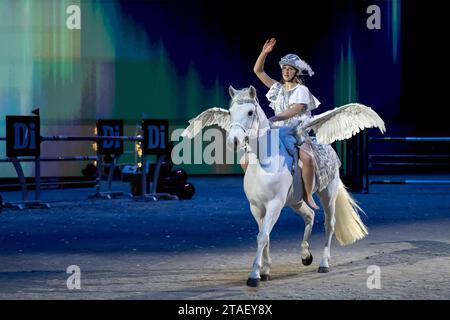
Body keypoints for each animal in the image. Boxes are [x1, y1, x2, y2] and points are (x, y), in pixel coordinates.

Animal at [181, 85, 384, 288]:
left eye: (250, 112)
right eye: (230, 113)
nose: (234, 141)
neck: (264, 162)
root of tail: (326, 146)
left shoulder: (274, 205)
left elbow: (262, 236)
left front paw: (254, 275)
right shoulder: (256, 207)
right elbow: (265, 235)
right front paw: (265, 270)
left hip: (327, 194)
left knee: (329, 224)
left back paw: (324, 263)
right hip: (296, 201)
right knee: (310, 216)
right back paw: (305, 255)